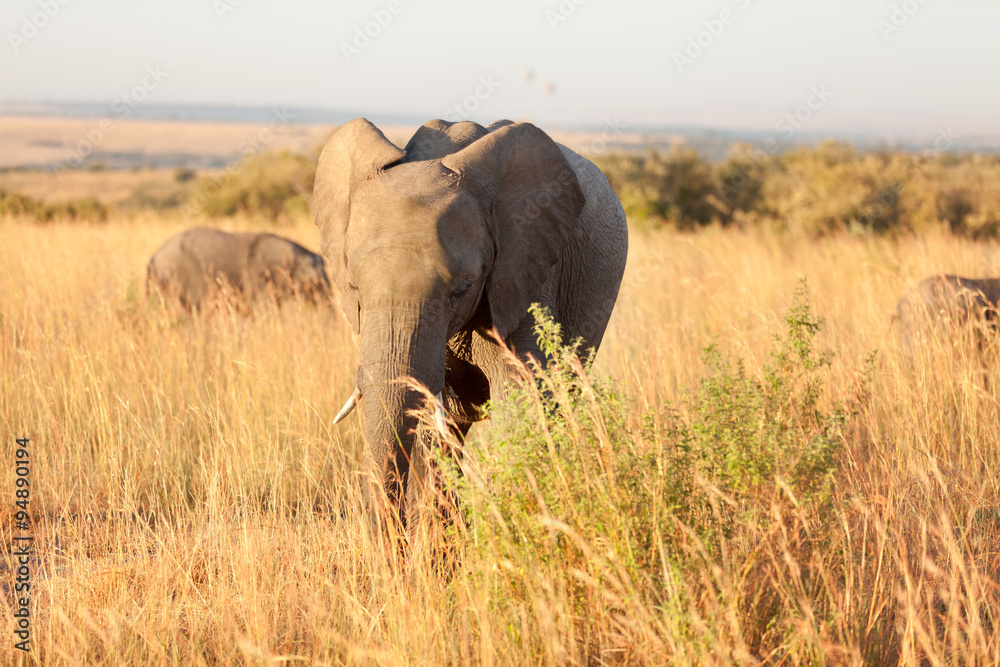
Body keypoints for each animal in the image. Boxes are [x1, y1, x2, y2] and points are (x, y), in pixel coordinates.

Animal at [313, 117, 628, 526]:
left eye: (461, 289)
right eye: (354, 287)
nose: (392, 540)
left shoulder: (526, 273)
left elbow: (522, 399)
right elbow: (432, 425)